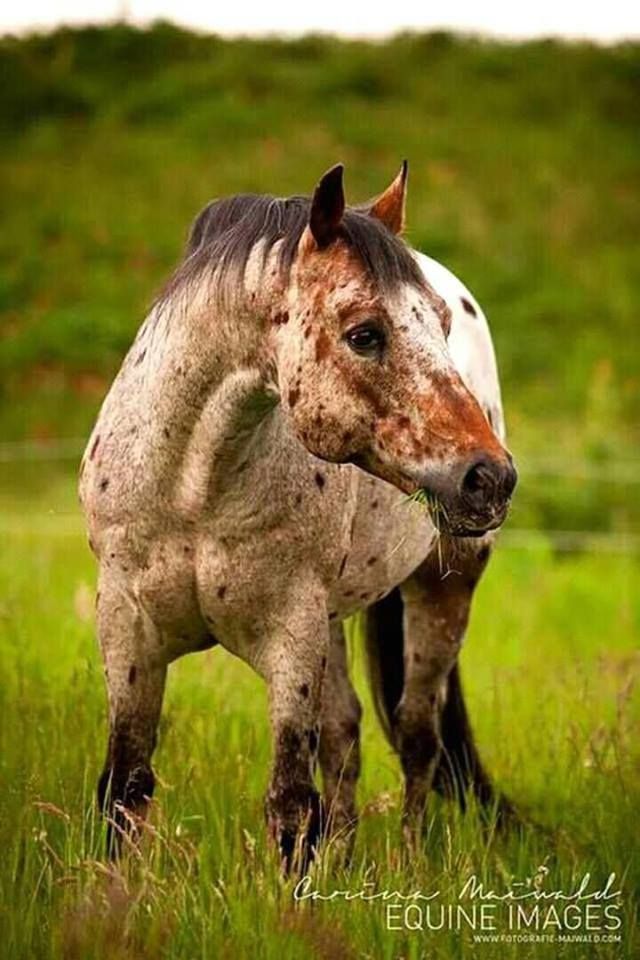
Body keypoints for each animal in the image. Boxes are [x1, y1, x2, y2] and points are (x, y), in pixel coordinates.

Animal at [80, 161, 516, 868]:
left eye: (442, 325)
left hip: (443, 586)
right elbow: (125, 786)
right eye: (365, 334)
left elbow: (288, 805)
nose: (492, 478)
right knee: (345, 735)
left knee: (417, 737)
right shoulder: (127, 628)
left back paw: (410, 864)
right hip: (335, 617)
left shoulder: (291, 637)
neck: (193, 491)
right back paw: (346, 860)